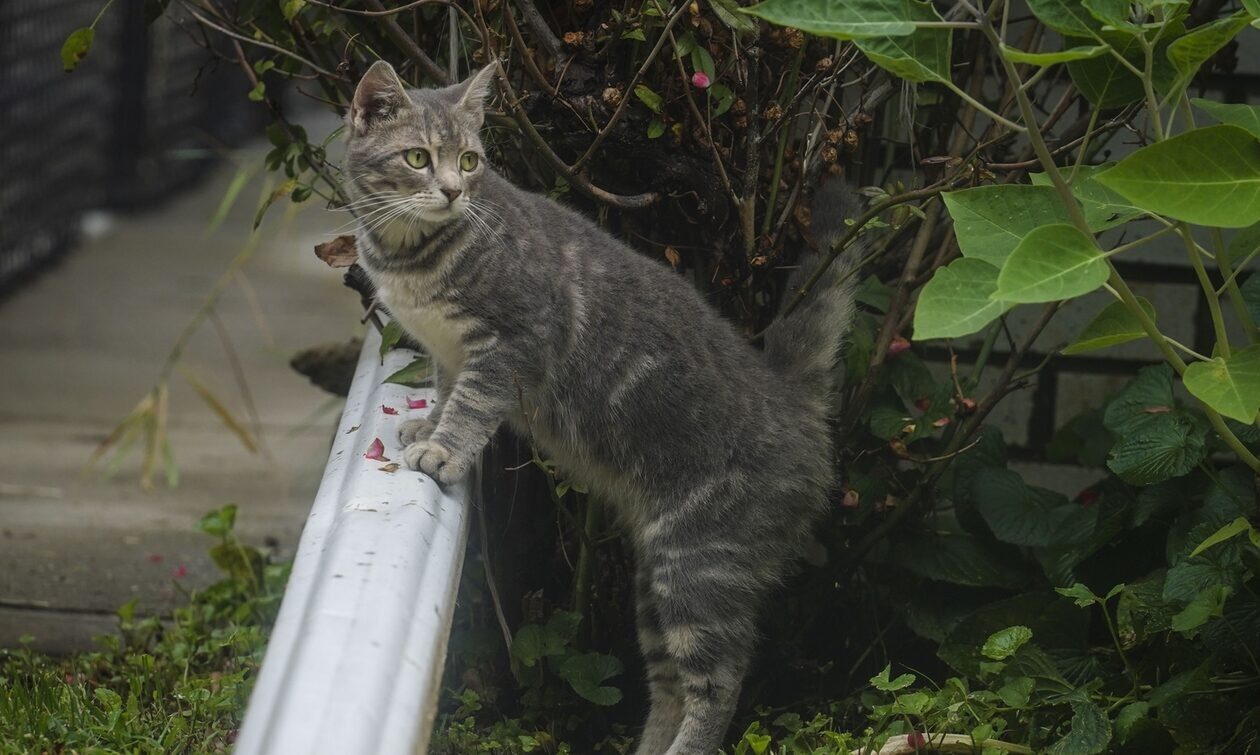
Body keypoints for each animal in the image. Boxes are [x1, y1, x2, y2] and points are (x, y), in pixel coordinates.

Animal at [342, 63, 856, 755]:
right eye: (418, 157)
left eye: (469, 160)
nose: (451, 191)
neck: (409, 257)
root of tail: (791, 399)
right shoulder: (449, 350)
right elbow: (450, 389)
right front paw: (430, 422)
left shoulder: (513, 343)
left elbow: (474, 402)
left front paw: (444, 449)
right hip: (653, 585)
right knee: (669, 685)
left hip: (698, 563)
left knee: (719, 683)